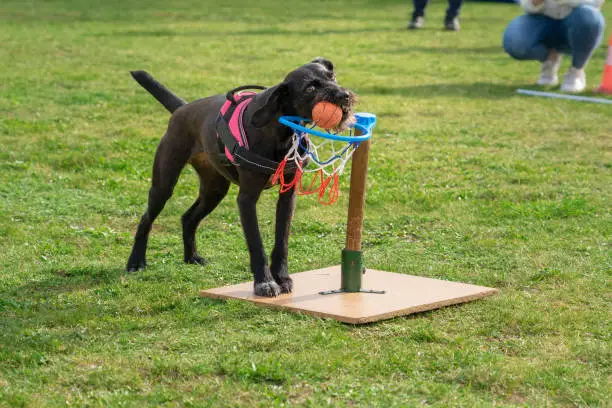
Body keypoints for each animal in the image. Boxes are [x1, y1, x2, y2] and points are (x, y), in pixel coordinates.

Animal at [128, 57, 358, 296]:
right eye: (310, 88)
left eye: (331, 77)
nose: (344, 95)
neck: (279, 129)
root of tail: (182, 108)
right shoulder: (247, 199)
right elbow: (256, 244)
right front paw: (264, 282)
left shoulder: (288, 196)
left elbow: (282, 242)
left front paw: (282, 277)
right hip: (164, 184)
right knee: (146, 219)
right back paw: (136, 262)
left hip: (214, 190)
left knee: (188, 218)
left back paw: (192, 257)